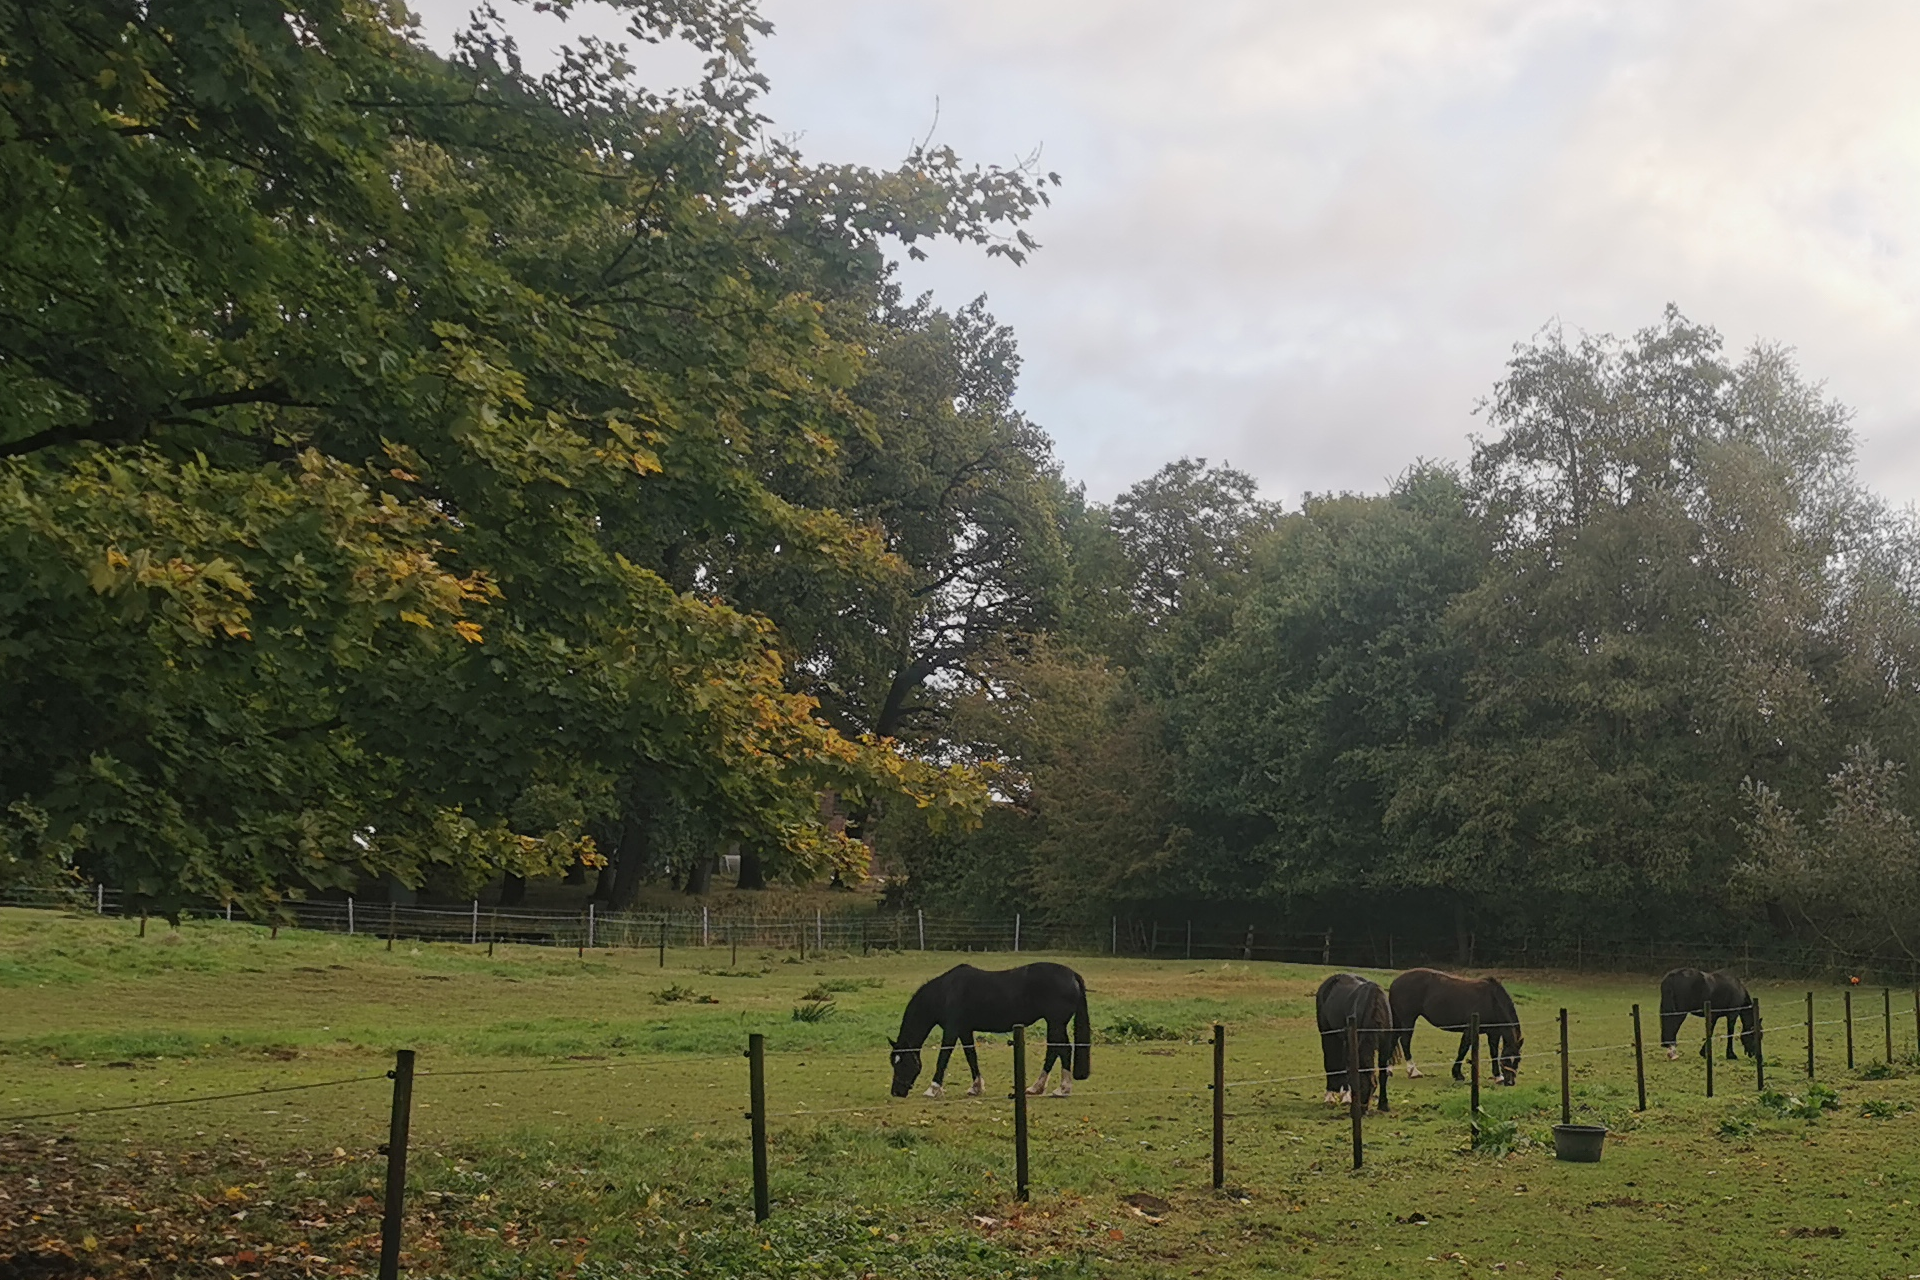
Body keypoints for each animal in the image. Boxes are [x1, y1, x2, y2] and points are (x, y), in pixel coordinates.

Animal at [888, 962, 1091, 1099]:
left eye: (902, 1062)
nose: (896, 1092)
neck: (945, 992)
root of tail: (1072, 975)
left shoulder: (952, 1030)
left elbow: (943, 1057)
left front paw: (932, 1089)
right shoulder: (964, 1030)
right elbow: (971, 1056)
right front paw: (976, 1087)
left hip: (1056, 1023)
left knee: (1061, 1050)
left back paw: (1060, 1089)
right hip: (1055, 1023)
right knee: (1056, 1050)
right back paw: (1040, 1088)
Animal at [1315, 972, 1394, 1111]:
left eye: (1372, 1087)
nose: (1362, 1110)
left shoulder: (1385, 1045)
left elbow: (1383, 1073)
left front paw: (1383, 1104)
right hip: (1328, 1034)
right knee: (1330, 1059)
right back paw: (1330, 1095)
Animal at [1387, 967, 1524, 1086]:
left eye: (1518, 1060)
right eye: (1506, 1059)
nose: (1510, 1082)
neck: (1492, 1001)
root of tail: (1395, 982)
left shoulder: (1494, 1033)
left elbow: (1494, 1052)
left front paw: (1498, 1077)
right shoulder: (1469, 1030)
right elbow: (1463, 1049)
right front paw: (1458, 1074)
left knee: (1394, 1038)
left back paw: (1389, 1069)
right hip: (1408, 1020)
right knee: (1405, 1041)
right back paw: (1413, 1071)